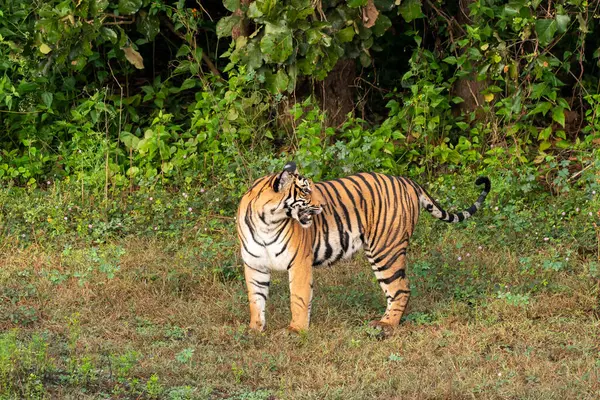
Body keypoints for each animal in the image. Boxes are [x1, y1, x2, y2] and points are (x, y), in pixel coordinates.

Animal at [237, 161, 490, 332]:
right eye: (306, 190)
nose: (323, 205)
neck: (267, 222)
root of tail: (406, 180)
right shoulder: (255, 265)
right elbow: (255, 298)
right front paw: (254, 329)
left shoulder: (299, 263)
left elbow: (298, 298)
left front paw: (295, 330)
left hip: (385, 250)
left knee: (401, 288)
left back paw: (385, 326)